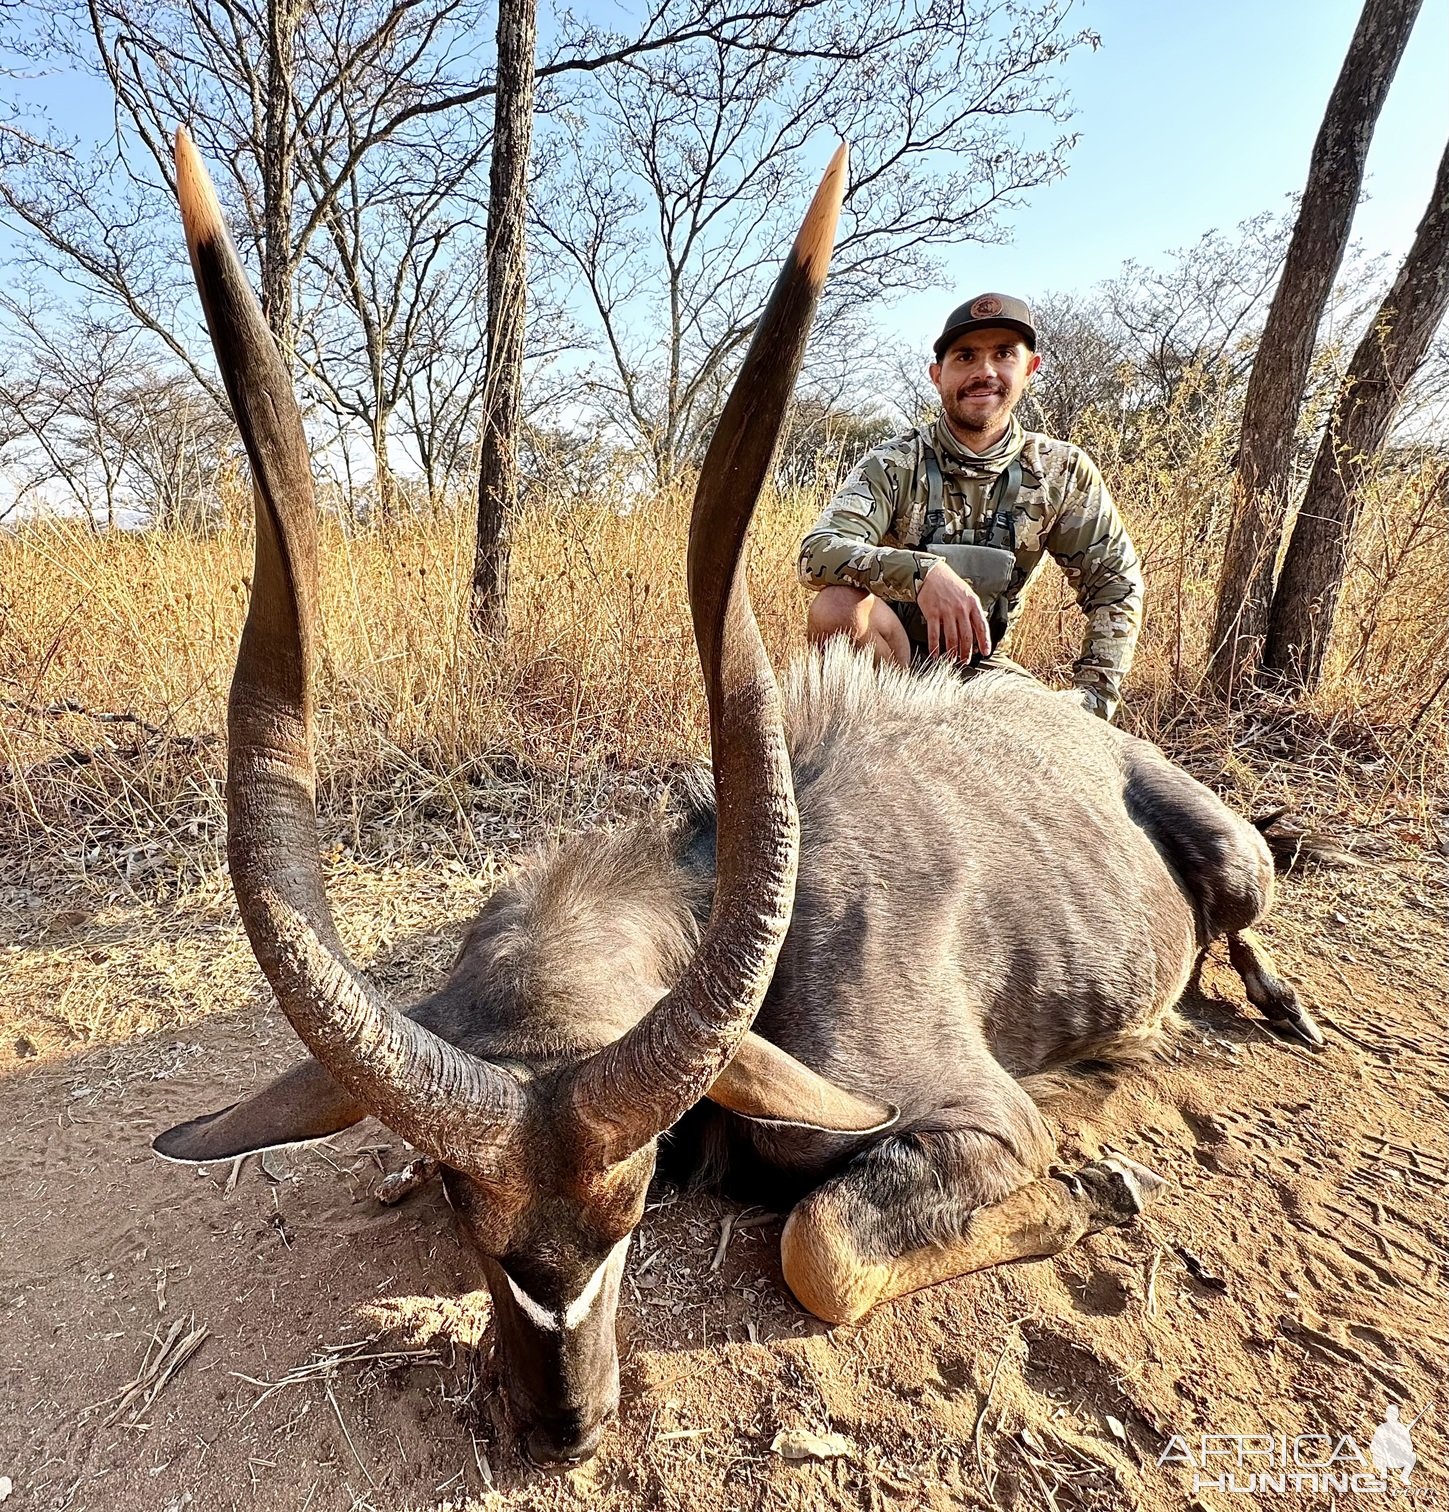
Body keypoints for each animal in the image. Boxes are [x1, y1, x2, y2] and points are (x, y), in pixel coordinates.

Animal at [152, 133, 1318, 1463]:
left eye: (638, 1195)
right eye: (463, 1203)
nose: (565, 1425)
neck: (711, 888)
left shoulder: (981, 1122)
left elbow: (821, 1244)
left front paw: (1091, 1194)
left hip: (1234, 864)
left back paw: (1270, 1010)